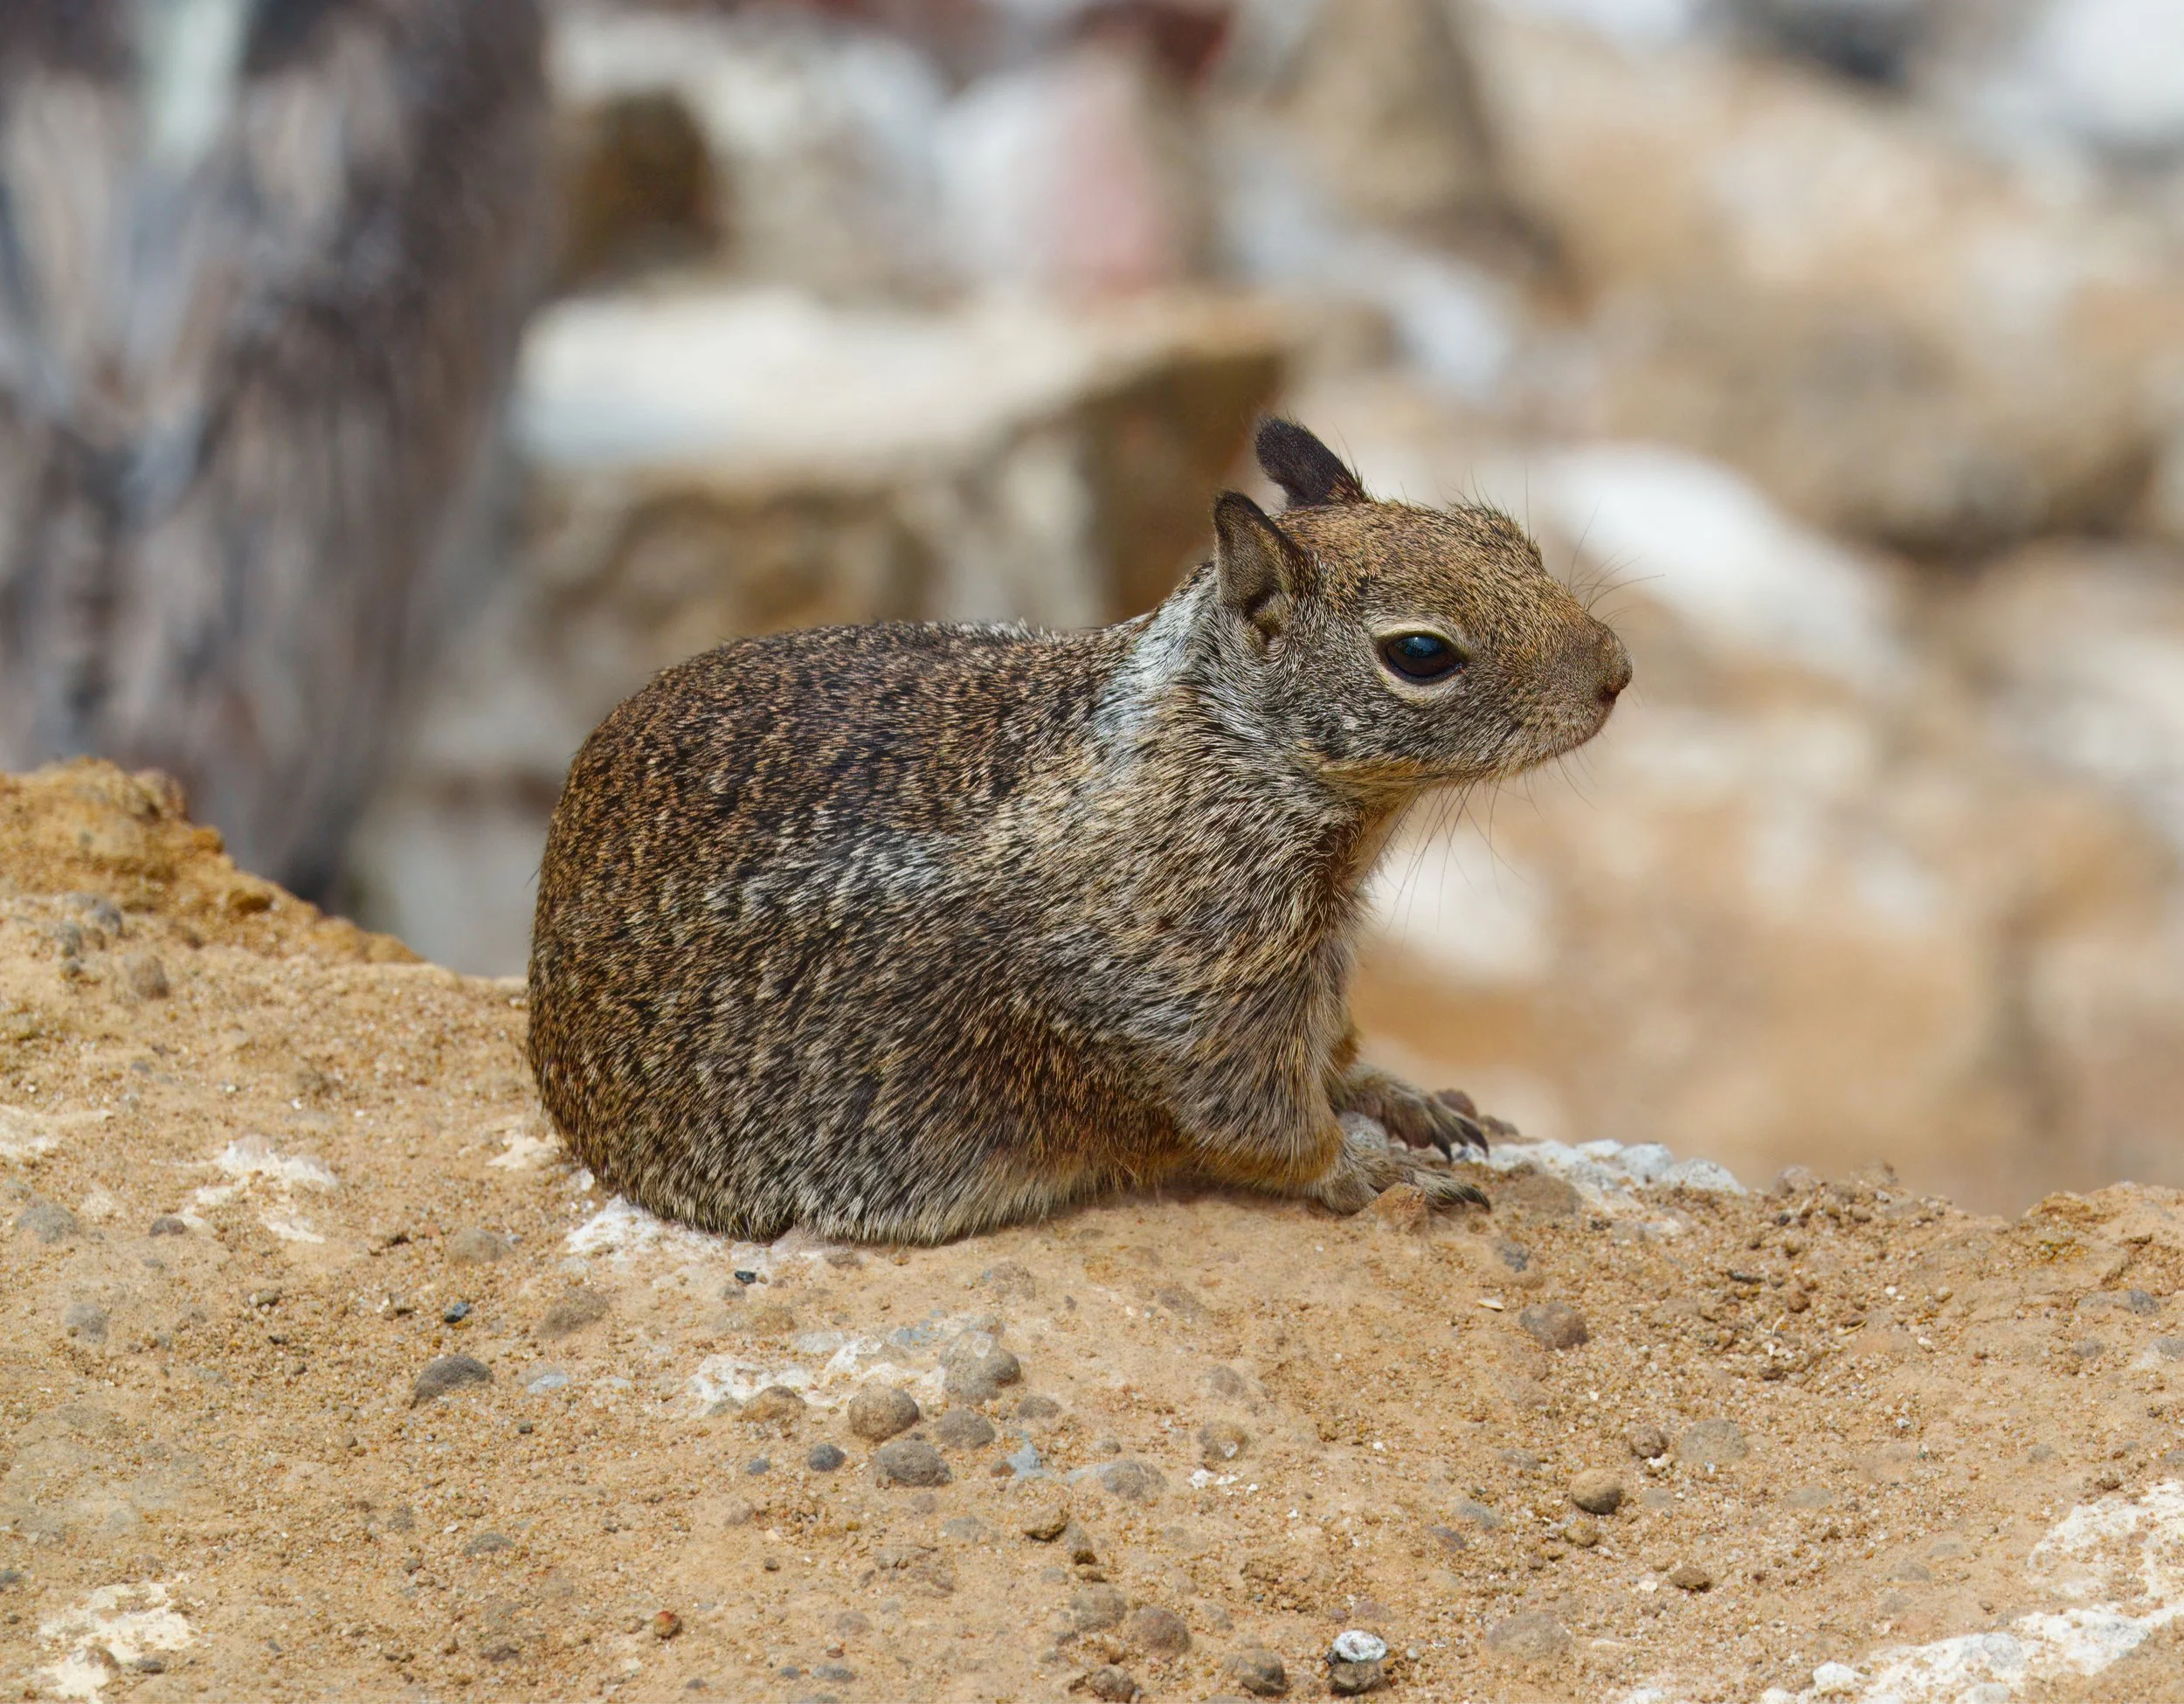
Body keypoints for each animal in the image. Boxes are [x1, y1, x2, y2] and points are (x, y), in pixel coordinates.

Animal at [528, 420, 1630, 1243]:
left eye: (1508, 537)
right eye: (1420, 653)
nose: (1617, 671)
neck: (1218, 754)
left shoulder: (1311, 962)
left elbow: (1337, 1047)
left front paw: (1405, 1097)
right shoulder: (1199, 1007)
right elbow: (1269, 1126)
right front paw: (1379, 1171)